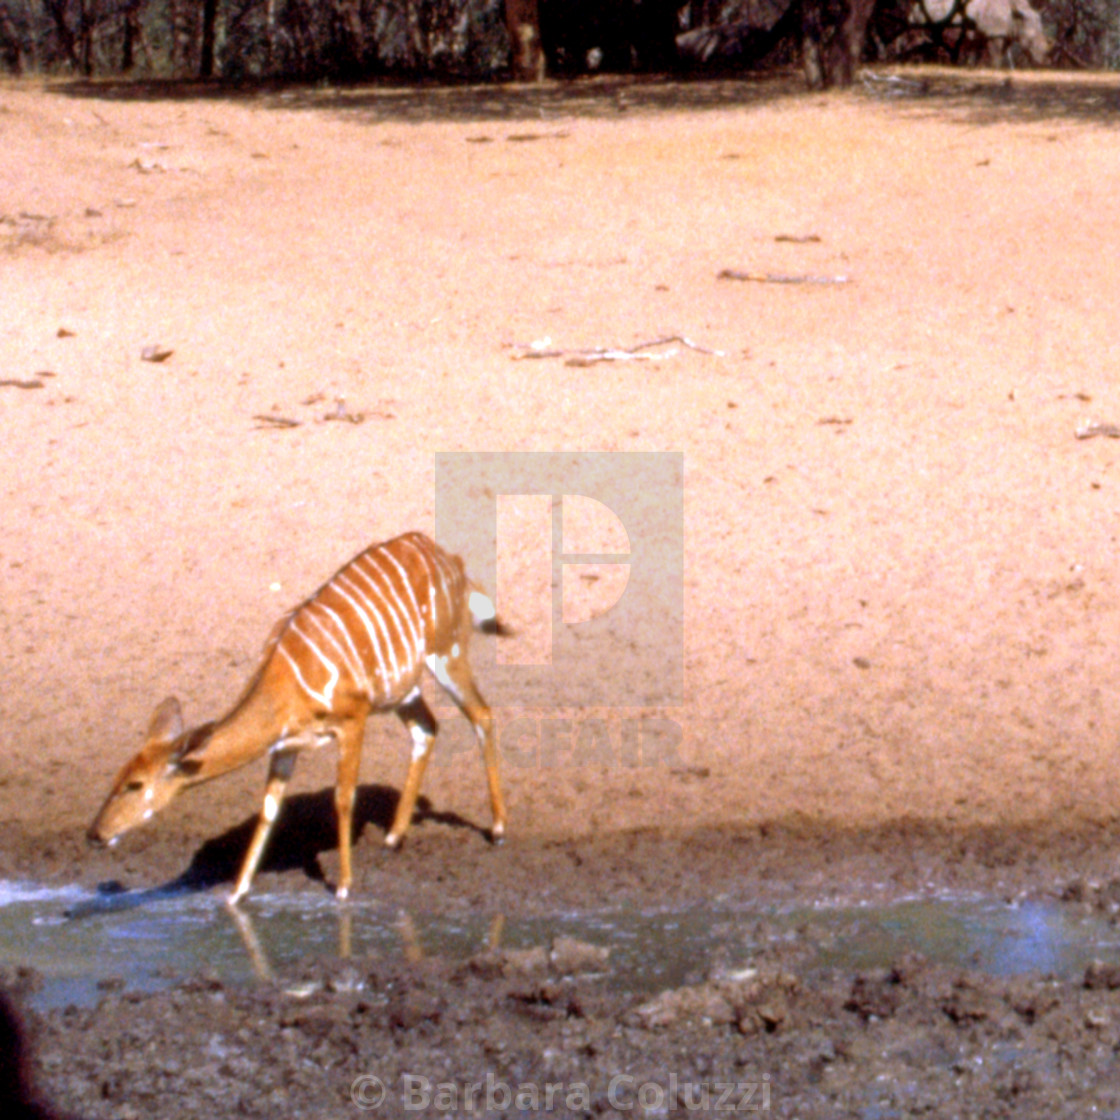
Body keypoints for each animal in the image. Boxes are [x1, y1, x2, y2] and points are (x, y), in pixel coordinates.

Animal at [87, 528, 508, 904]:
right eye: (117, 777)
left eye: (135, 785)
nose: (94, 833)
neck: (284, 684)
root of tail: (450, 559)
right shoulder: (286, 747)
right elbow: (268, 811)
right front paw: (236, 895)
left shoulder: (352, 720)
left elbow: (343, 798)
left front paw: (344, 886)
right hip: (402, 690)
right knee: (426, 728)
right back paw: (393, 837)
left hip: (447, 652)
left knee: (482, 715)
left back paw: (498, 828)